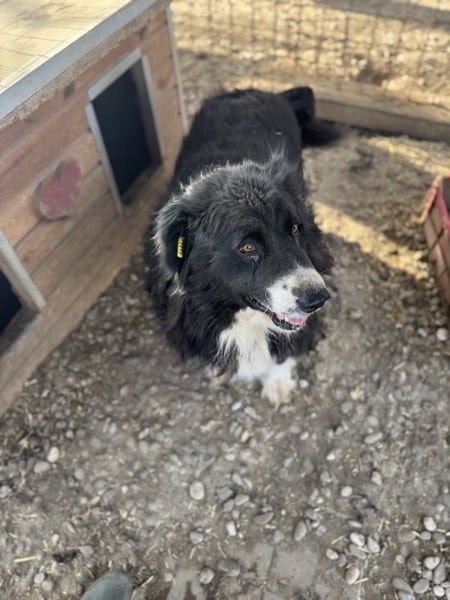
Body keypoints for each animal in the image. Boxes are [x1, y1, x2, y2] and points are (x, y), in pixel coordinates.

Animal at [144, 88, 333, 407]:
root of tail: (252, 90)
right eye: (247, 247)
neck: (238, 312)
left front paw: (277, 382)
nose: (318, 299)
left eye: (295, 229)